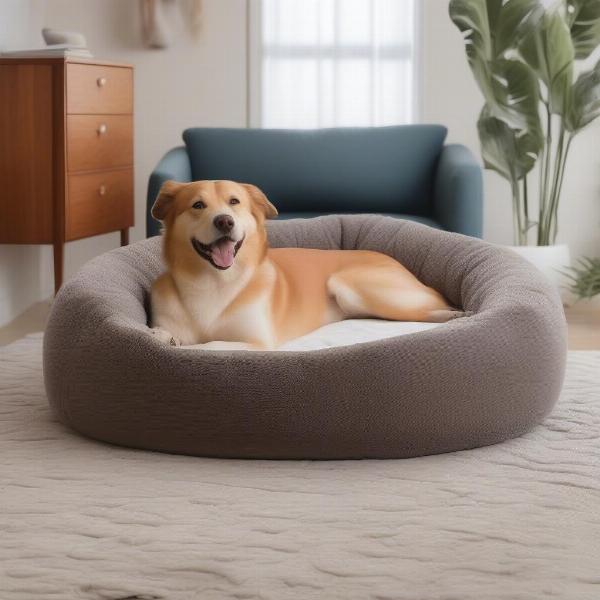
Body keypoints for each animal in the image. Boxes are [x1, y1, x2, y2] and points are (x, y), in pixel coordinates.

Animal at [149, 180, 464, 350]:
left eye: (234, 201)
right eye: (197, 205)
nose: (225, 221)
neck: (214, 282)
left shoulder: (257, 342)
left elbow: (209, 345)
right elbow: (173, 336)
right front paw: (164, 337)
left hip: (352, 285)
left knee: (426, 312)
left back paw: (452, 315)